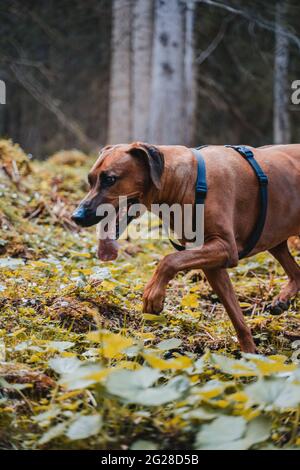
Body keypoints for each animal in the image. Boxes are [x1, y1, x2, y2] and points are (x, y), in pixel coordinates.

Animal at [72, 143, 300, 352]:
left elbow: (169, 260)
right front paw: (250, 357)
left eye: (110, 179)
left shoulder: (225, 247)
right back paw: (282, 299)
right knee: (295, 271)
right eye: (90, 180)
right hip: (274, 235)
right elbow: (237, 318)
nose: (76, 216)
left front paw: (153, 295)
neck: (189, 182)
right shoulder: (213, 263)